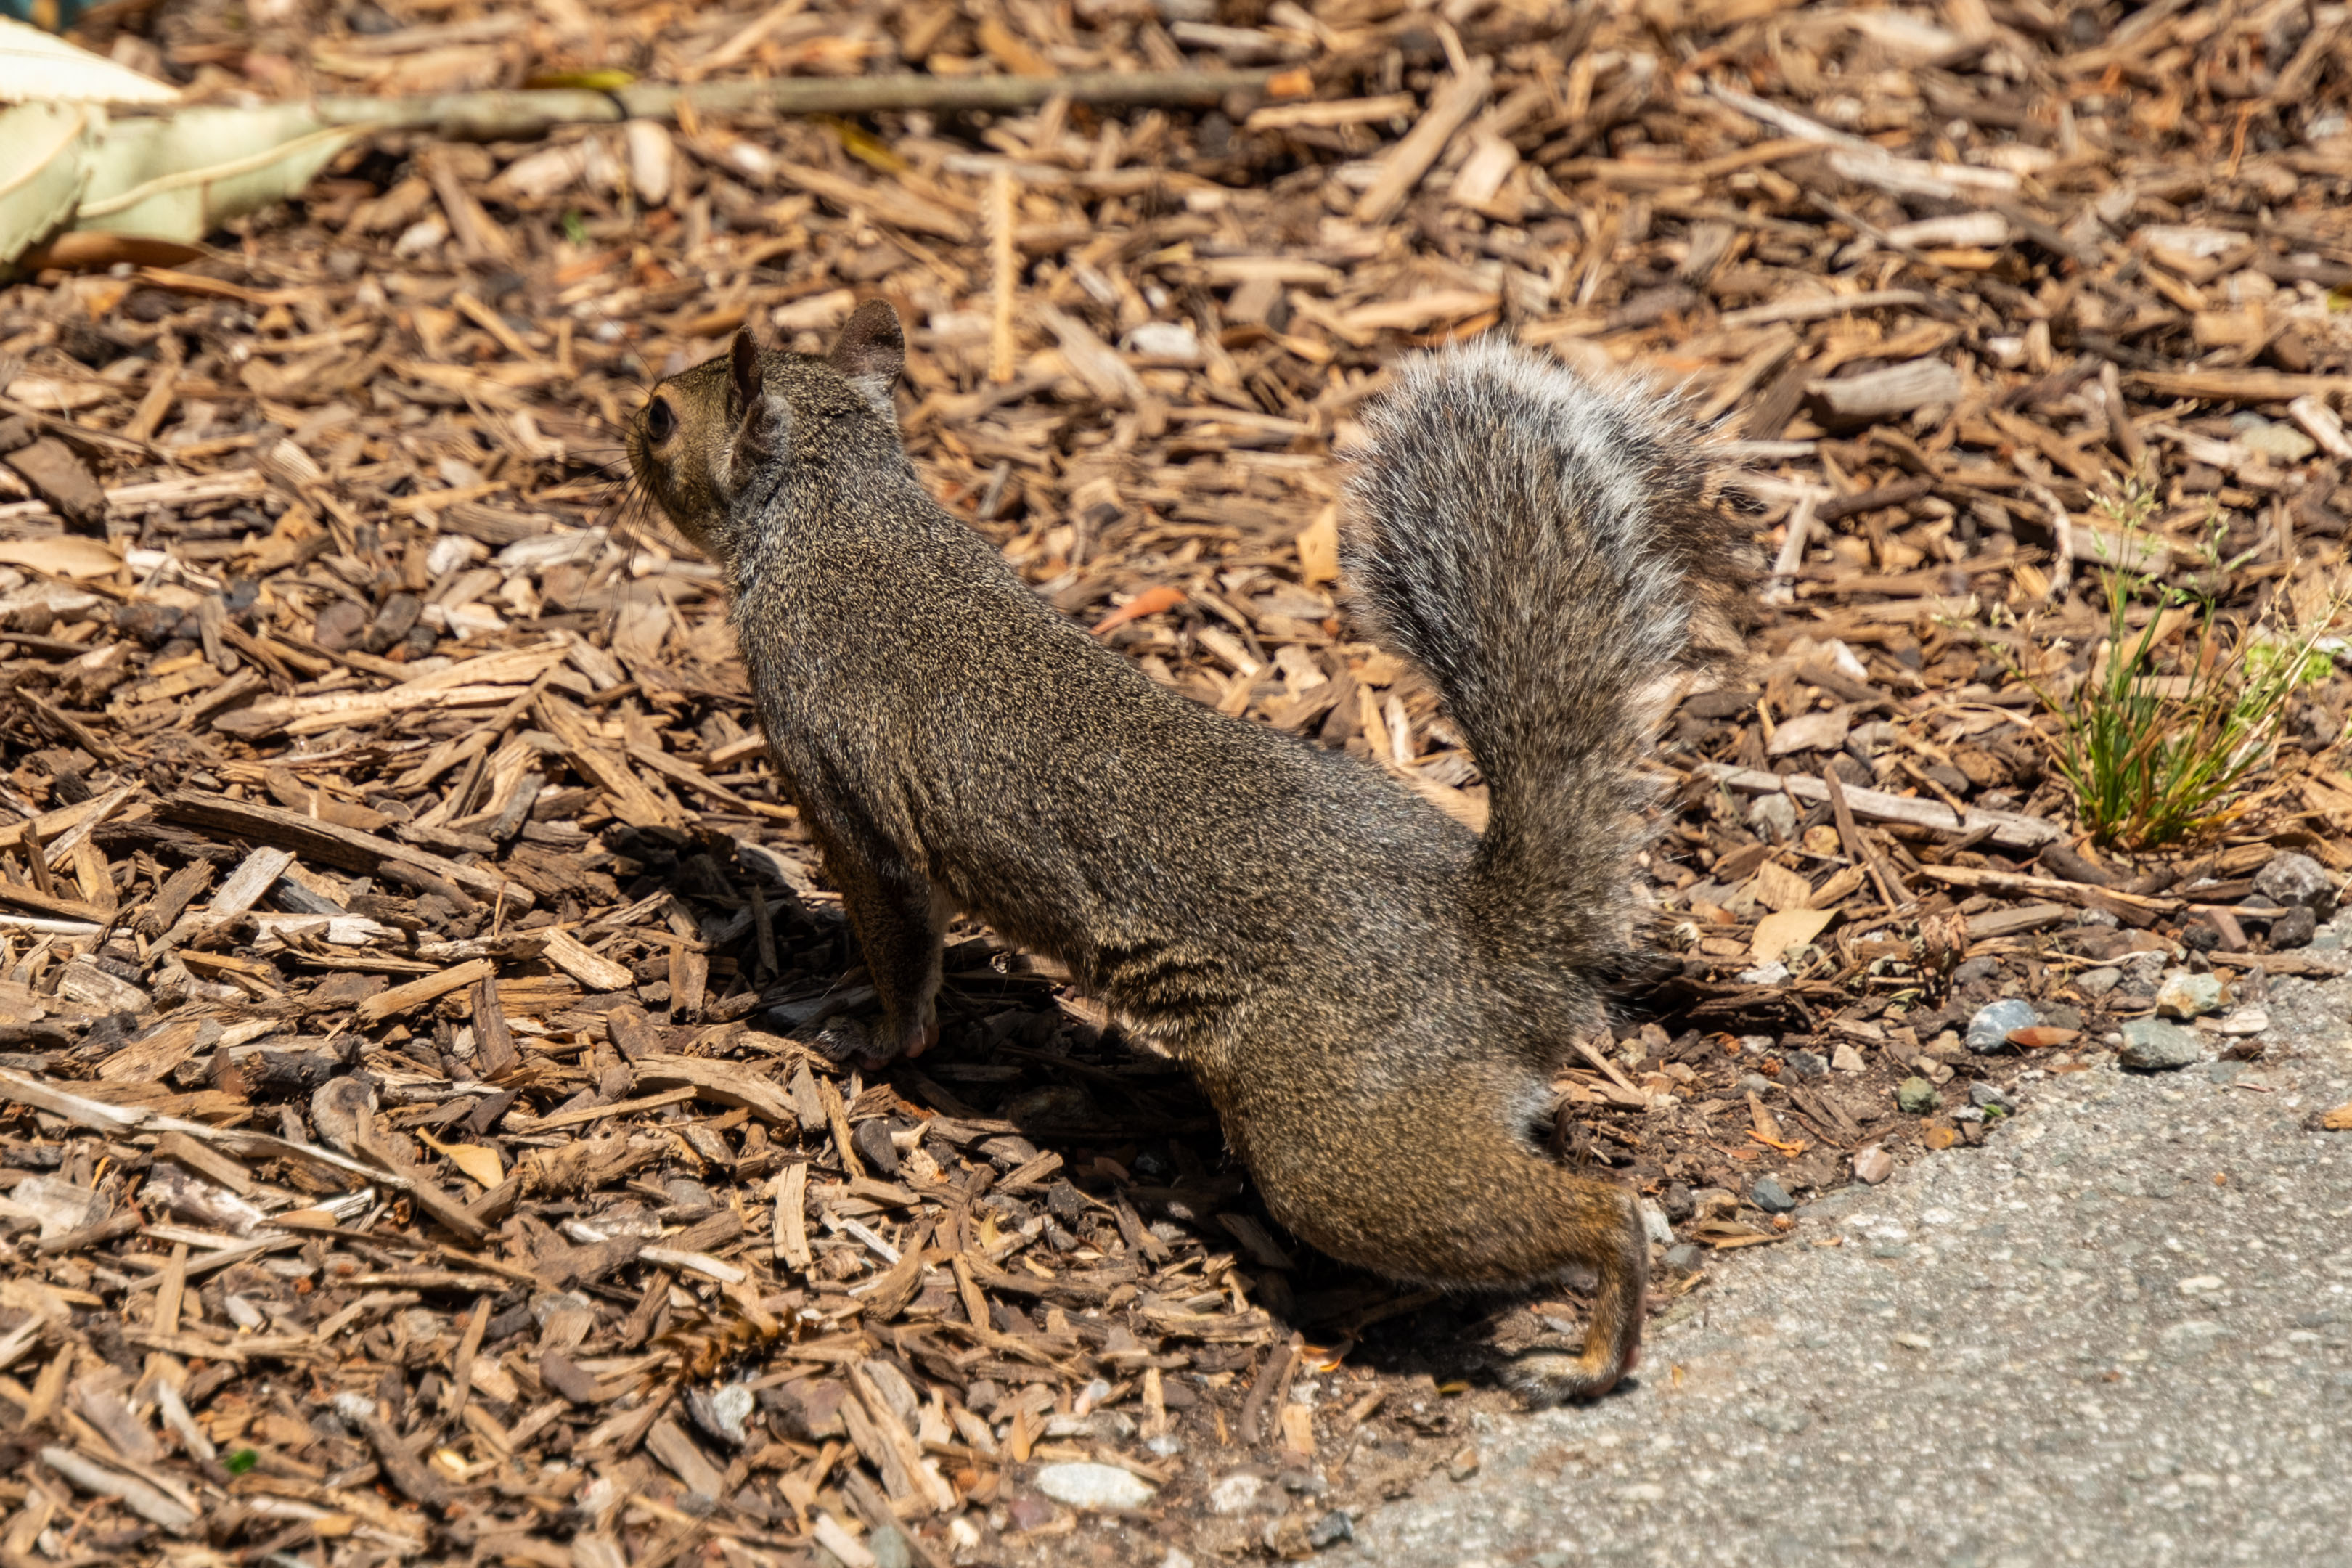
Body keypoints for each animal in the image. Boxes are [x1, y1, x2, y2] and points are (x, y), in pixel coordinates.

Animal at [625, 301, 1749, 1401]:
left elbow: (900, 949)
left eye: (661, 419)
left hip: (1345, 1132)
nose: (618, 433)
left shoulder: (846, 799)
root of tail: (1501, 950)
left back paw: (1592, 1352)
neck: (836, 513)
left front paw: (866, 1039)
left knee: (1591, 1216)